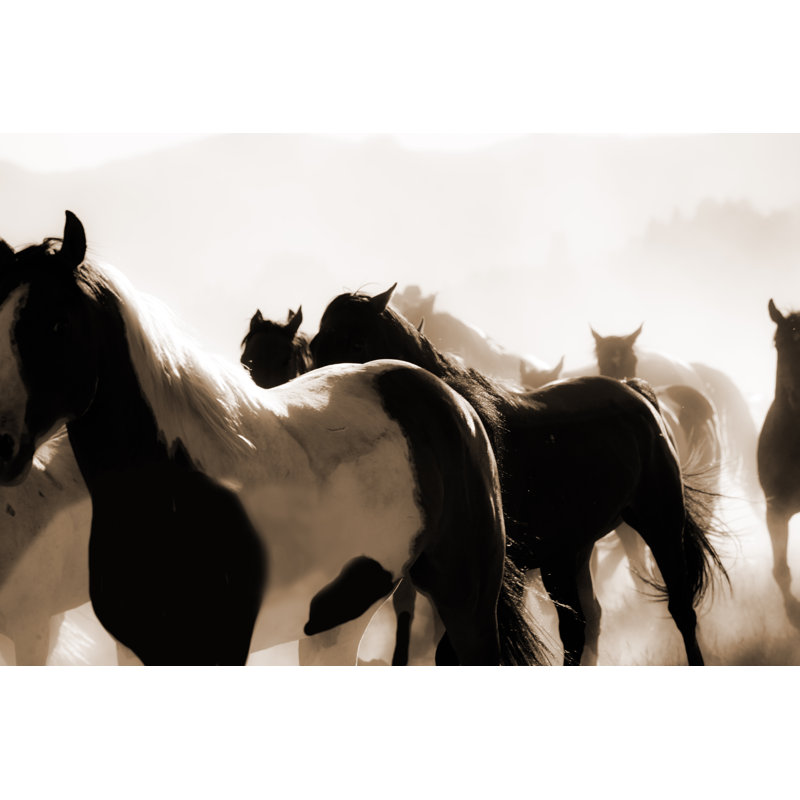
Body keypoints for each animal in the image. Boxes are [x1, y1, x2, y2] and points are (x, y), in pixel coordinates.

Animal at [0, 212, 543, 666]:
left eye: (58, 323)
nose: (4, 446)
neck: (179, 484)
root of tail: (445, 395)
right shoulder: (136, 650)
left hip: (467, 606)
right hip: (334, 623)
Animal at [311, 285, 728, 666]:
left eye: (357, 342)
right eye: (315, 347)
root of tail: (636, 393)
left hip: (661, 523)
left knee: (679, 608)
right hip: (569, 553)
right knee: (580, 626)